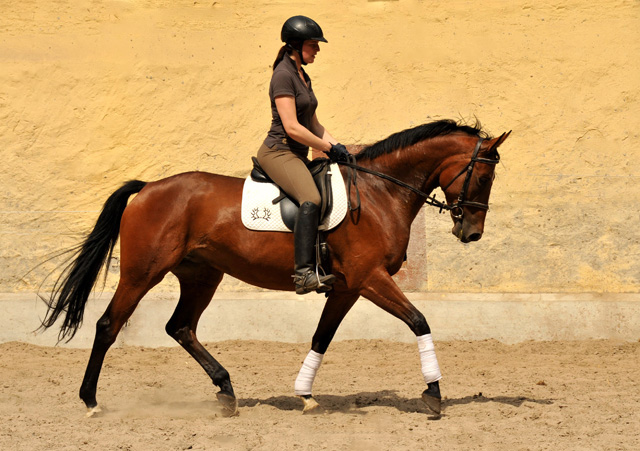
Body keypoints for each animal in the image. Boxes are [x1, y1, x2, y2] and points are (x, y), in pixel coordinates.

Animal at [40, 119, 510, 416]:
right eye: (483, 177)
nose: (472, 233)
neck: (380, 193)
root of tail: (149, 187)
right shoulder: (369, 278)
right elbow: (419, 320)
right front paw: (433, 393)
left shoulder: (347, 287)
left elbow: (322, 336)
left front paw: (304, 394)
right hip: (143, 272)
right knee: (108, 325)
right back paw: (90, 401)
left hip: (202, 274)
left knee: (181, 327)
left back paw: (226, 391)